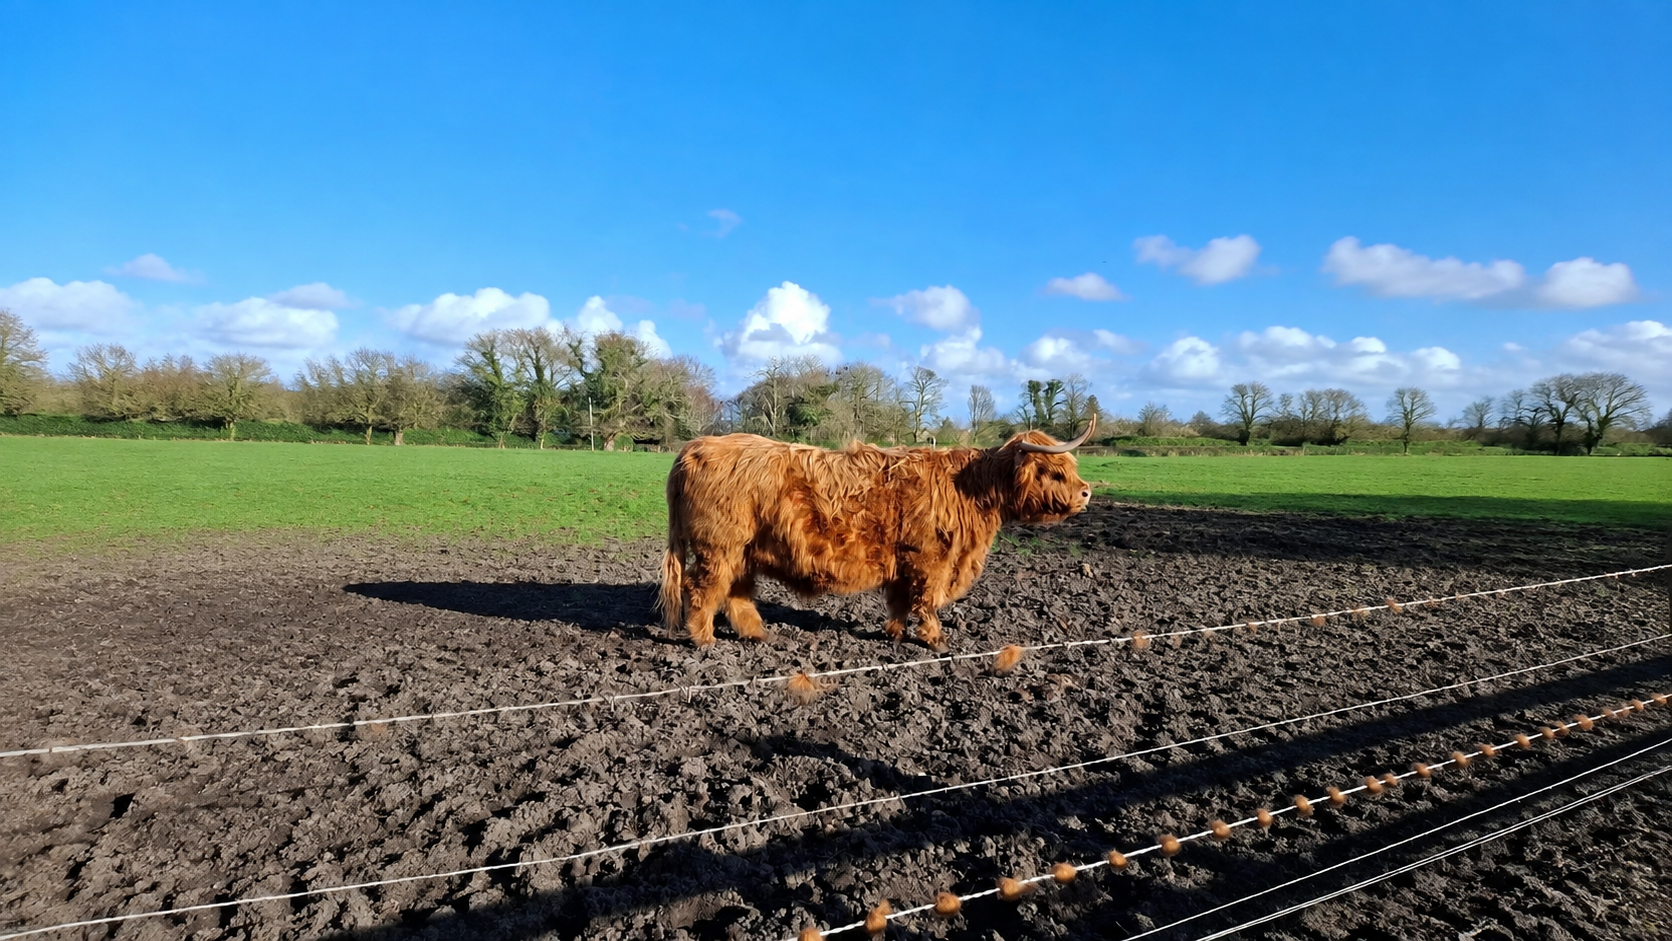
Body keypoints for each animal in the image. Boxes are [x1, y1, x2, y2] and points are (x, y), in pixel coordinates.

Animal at [659, 417, 1095, 651]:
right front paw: (935, 640)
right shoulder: (929, 558)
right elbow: (926, 600)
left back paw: (757, 633)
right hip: (719, 545)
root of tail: (694, 447)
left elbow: (901, 599)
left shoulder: (905, 560)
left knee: (736, 592)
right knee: (702, 588)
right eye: (1055, 472)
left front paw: (895, 634)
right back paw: (704, 639)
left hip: (744, 548)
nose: (1086, 492)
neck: (971, 489)